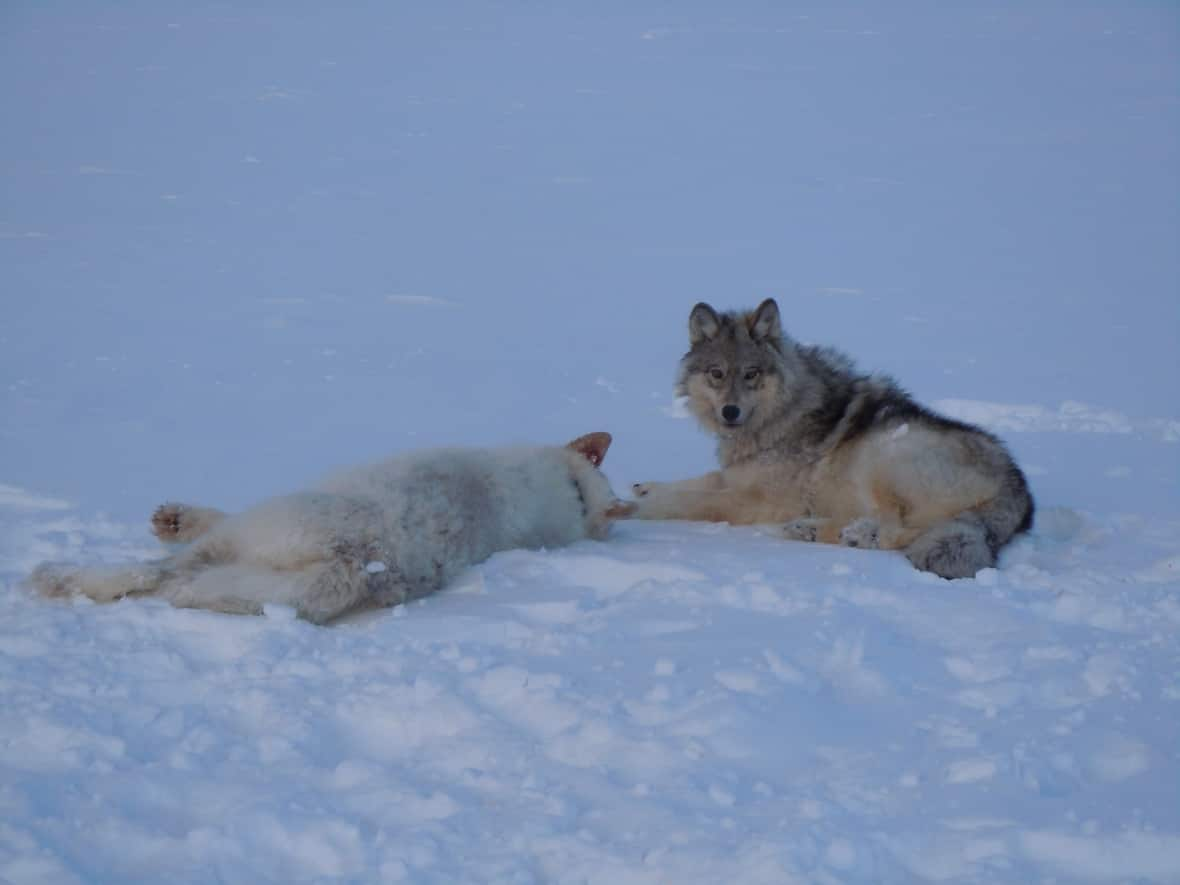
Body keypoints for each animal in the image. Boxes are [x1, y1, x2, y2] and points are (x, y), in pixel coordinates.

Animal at [32, 434, 632, 627]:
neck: (573, 494)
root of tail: (359, 557)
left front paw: (177, 520)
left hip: (258, 528)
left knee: (157, 574)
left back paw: (56, 577)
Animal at [627, 299, 1033, 582]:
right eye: (716, 373)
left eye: (751, 374)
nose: (730, 412)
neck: (779, 415)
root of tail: (1020, 489)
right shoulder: (737, 476)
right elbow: (700, 481)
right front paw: (644, 487)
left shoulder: (757, 500)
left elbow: (693, 499)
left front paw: (638, 508)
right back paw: (811, 529)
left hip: (885, 456)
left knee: (900, 530)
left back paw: (845, 533)